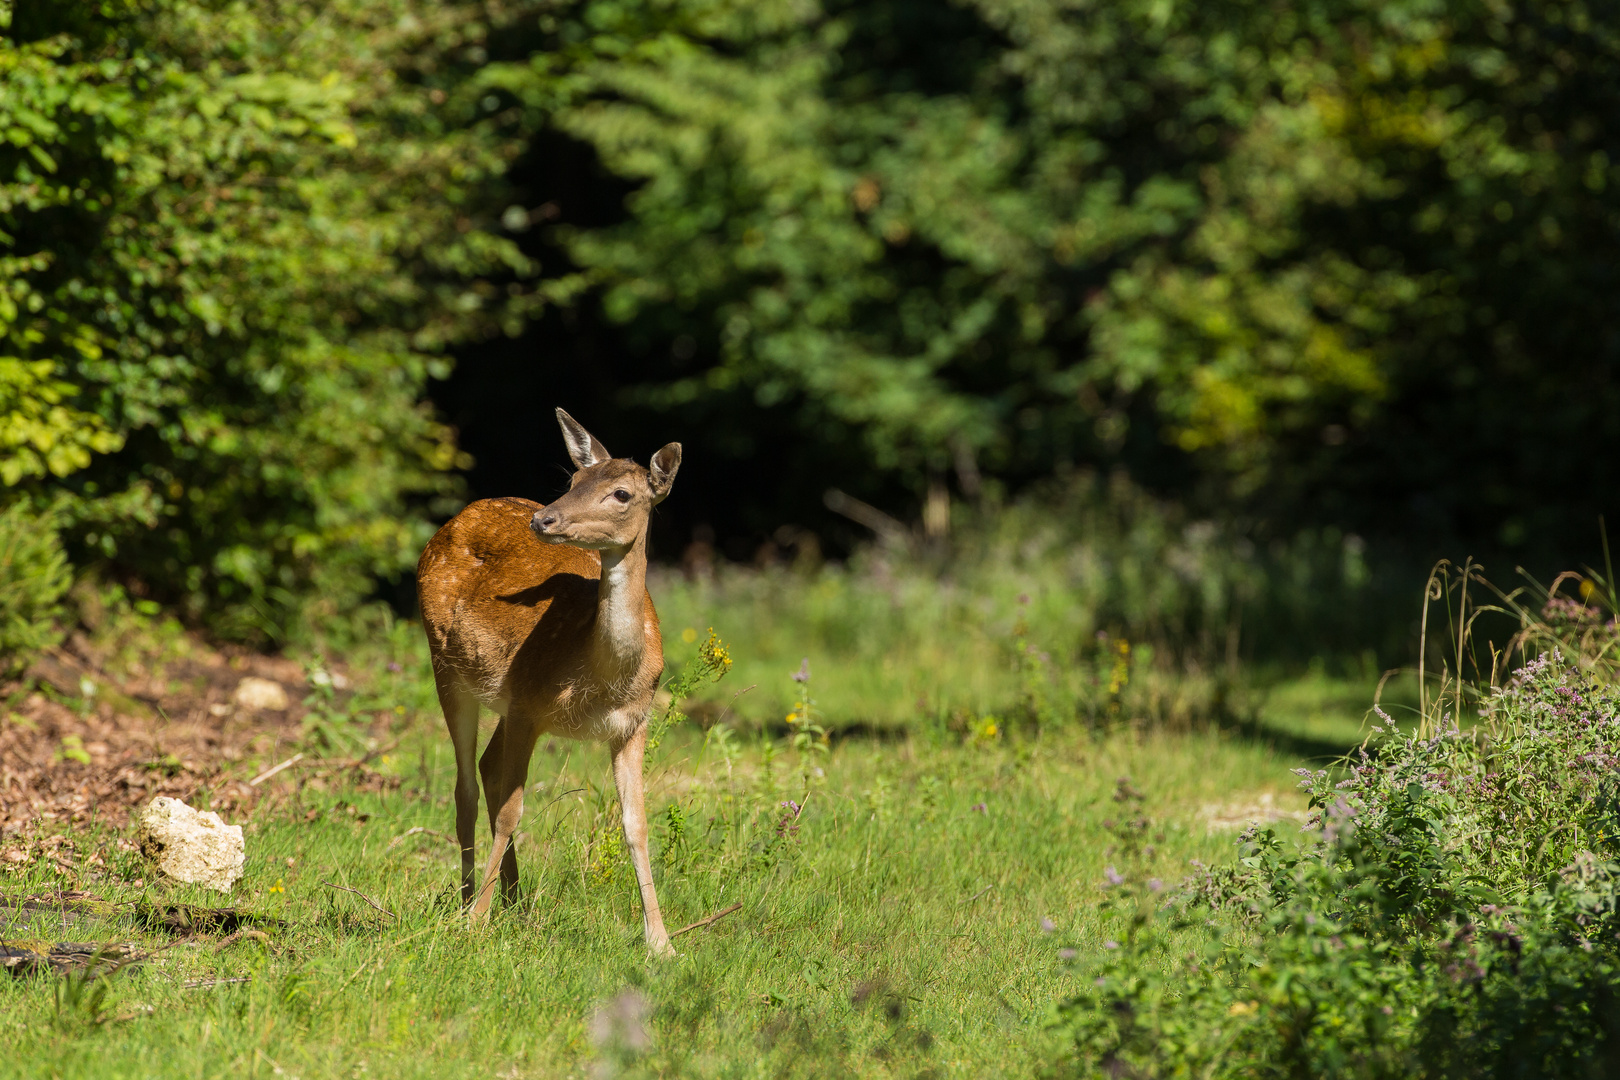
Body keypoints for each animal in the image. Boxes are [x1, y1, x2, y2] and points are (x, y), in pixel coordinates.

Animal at [421, 408, 680, 952]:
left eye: (621, 493)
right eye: (573, 481)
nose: (543, 519)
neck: (603, 680)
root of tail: (456, 518)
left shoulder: (634, 723)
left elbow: (636, 824)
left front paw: (662, 942)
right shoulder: (528, 705)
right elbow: (510, 811)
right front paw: (475, 924)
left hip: (503, 695)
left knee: (486, 765)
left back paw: (514, 901)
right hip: (448, 667)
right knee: (466, 787)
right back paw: (469, 901)